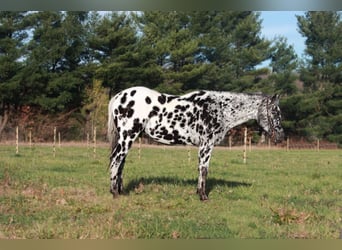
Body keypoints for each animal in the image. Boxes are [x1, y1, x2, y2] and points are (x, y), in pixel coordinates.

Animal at [108, 87, 284, 200]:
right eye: (275, 112)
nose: (281, 136)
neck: (219, 109)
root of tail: (118, 97)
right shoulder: (207, 144)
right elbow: (204, 169)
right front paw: (203, 196)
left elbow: (201, 169)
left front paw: (199, 192)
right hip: (127, 137)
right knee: (116, 160)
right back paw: (114, 192)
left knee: (120, 162)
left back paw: (119, 190)